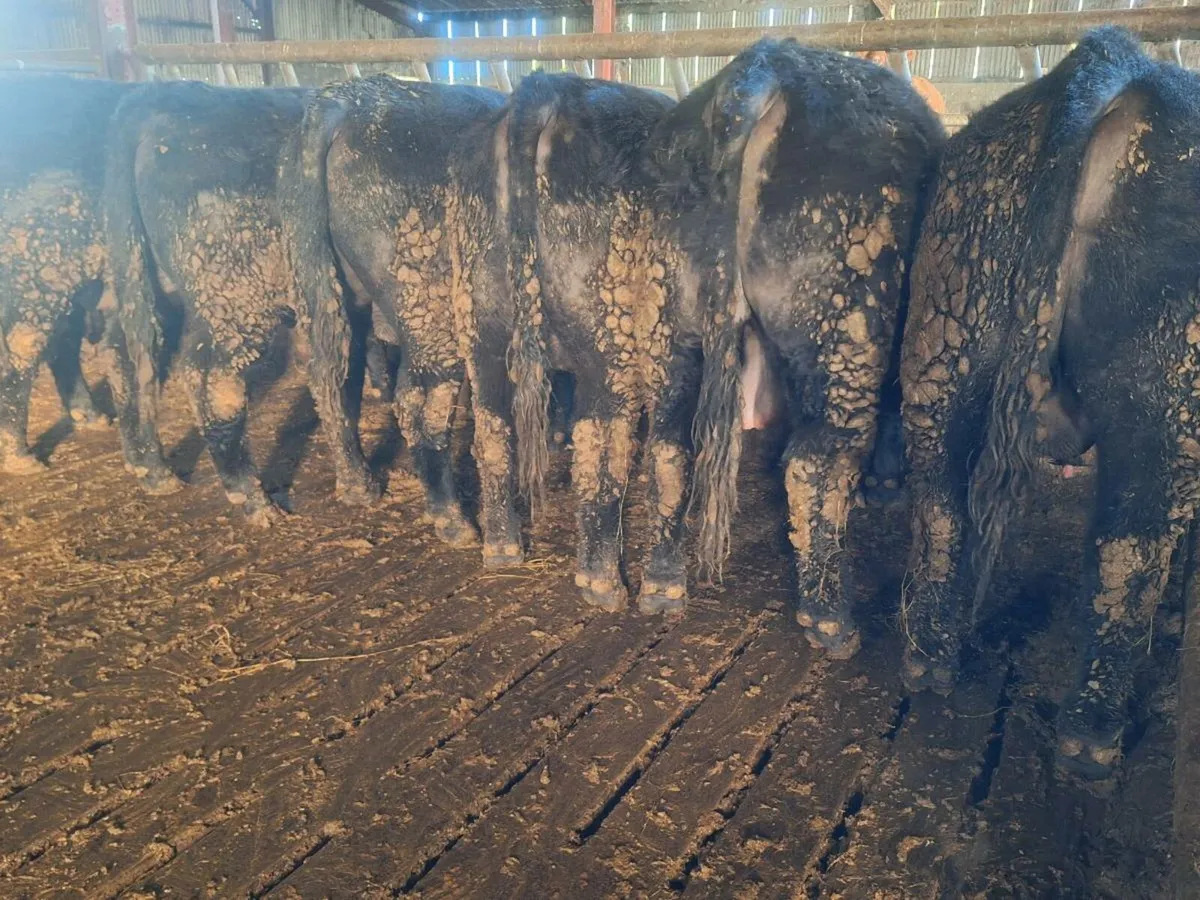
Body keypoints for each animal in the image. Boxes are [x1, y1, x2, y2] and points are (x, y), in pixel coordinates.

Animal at [104, 81, 312, 523]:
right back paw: (253, 498)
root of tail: (161, 93)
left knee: (125, 353)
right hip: (235, 296)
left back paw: (150, 468)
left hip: (145, 279)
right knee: (211, 377)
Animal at [277, 76, 505, 546]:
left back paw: (358, 484)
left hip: (330, 290)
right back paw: (451, 517)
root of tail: (344, 99)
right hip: (429, 310)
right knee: (419, 403)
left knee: (332, 376)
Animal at [656, 40, 943, 649]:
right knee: (817, 461)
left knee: (670, 441)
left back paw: (661, 583)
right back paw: (829, 615)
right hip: (850, 325)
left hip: (675, 320)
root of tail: (769, 64)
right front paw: (885, 482)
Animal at [898, 27, 1200, 776]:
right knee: (1131, 543)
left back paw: (930, 656)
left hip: (951, 324)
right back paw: (1091, 735)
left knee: (939, 498)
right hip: (1168, 392)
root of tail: (1111, 66)